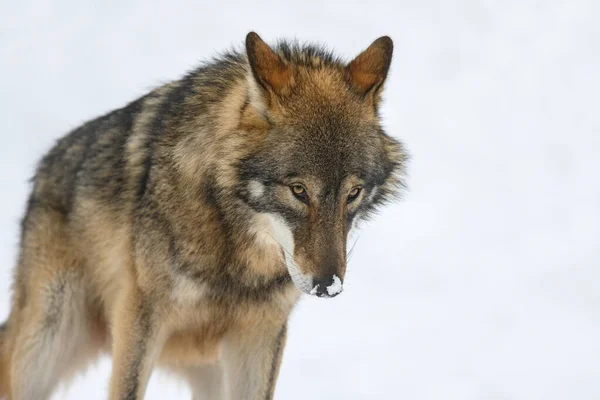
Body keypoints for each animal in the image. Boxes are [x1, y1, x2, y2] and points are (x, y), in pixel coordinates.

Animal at [0, 32, 408, 400]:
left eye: (353, 193)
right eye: (298, 190)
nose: (328, 285)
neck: (237, 253)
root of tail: (45, 168)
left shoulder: (260, 335)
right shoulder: (141, 318)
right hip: (48, 341)